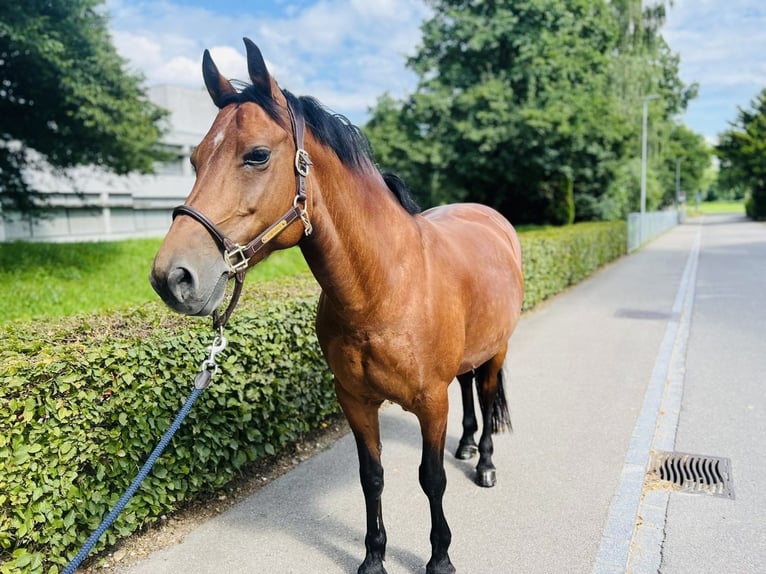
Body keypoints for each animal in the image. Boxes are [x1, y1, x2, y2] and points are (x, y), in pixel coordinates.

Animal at [152, 39, 520, 574]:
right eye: (196, 159)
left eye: (257, 155)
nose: (172, 276)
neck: (385, 292)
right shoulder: (354, 400)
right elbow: (373, 477)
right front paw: (373, 557)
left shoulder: (431, 403)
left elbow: (431, 479)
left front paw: (440, 558)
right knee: (470, 389)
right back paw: (468, 445)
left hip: (497, 351)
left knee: (489, 399)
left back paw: (486, 461)